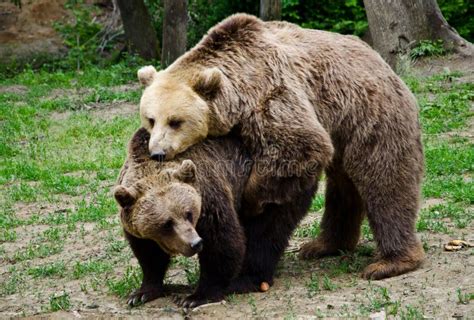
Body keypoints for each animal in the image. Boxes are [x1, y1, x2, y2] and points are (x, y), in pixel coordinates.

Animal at [114, 127, 318, 308]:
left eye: (188, 213)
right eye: (166, 223)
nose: (195, 243)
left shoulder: (209, 195)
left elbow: (221, 243)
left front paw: (196, 296)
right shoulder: (139, 225)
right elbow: (149, 254)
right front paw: (142, 293)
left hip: (271, 187)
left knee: (266, 232)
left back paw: (247, 279)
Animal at [136, 14, 426, 280]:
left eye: (175, 121)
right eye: (150, 119)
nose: (158, 153)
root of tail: (381, 62)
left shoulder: (271, 96)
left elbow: (300, 146)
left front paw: (251, 202)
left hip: (369, 112)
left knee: (385, 179)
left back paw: (391, 261)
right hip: (343, 131)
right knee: (342, 187)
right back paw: (323, 245)